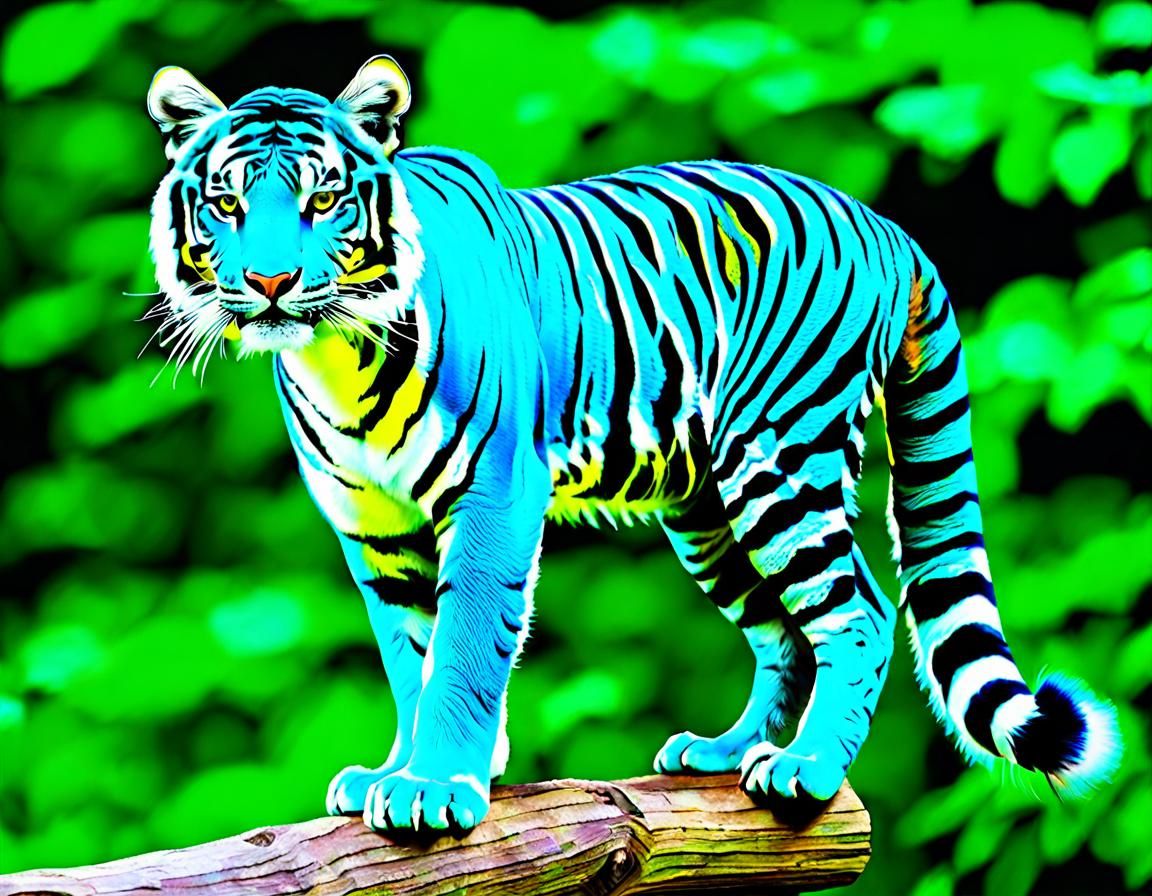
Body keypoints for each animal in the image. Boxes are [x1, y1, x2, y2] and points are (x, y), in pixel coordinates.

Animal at [145, 55, 1121, 834]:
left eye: (323, 199)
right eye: (228, 203)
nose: (271, 281)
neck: (335, 358)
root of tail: (886, 225)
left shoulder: (495, 495)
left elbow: (462, 644)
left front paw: (437, 786)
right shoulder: (374, 528)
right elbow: (408, 651)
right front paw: (402, 771)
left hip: (777, 459)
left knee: (861, 614)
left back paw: (806, 770)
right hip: (706, 506)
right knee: (782, 631)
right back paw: (728, 751)